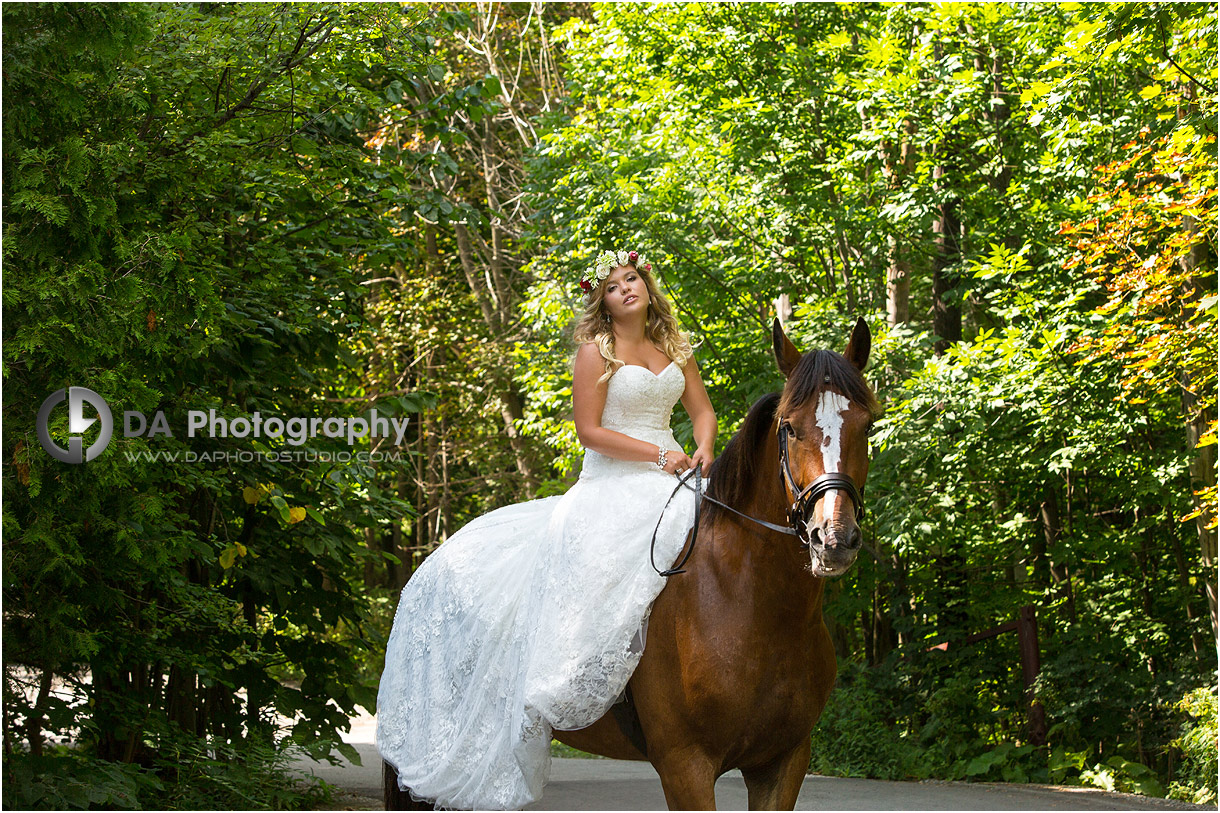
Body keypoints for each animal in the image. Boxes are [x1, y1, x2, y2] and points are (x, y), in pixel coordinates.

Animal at [385, 319, 883, 805]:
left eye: (867, 426)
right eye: (791, 427)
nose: (834, 537)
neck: (754, 607)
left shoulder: (783, 763)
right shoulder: (686, 765)